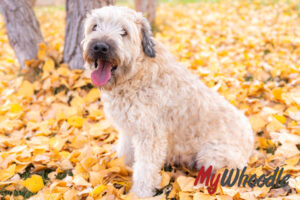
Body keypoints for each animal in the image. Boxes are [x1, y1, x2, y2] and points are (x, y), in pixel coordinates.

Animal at [81, 5, 253, 198]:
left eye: (124, 31)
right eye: (95, 26)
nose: (99, 47)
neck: (136, 74)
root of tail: (251, 140)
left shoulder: (150, 135)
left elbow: (145, 169)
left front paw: (139, 194)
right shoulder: (128, 129)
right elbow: (125, 151)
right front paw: (119, 166)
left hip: (212, 155)